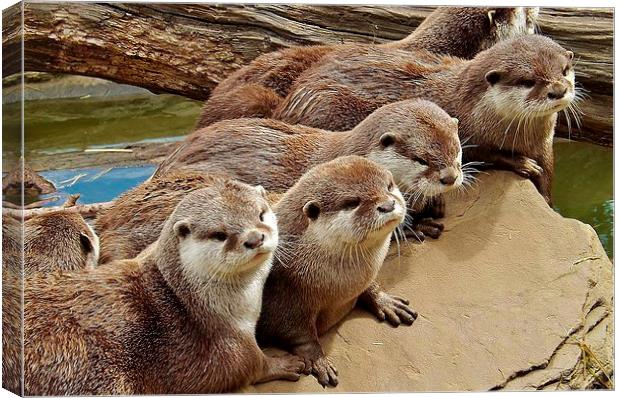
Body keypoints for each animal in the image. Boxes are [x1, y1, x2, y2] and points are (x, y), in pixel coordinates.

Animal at [23, 183, 304, 394]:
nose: (255, 238)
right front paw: (285, 363)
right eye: (219, 235)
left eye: (261, 214)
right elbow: (249, 365)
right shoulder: (223, 345)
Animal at [256, 155, 416, 386]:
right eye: (353, 202)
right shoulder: (284, 296)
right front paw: (319, 361)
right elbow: (298, 334)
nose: (388, 204)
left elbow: (371, 287)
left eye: (389, 186)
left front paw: (386, 302)